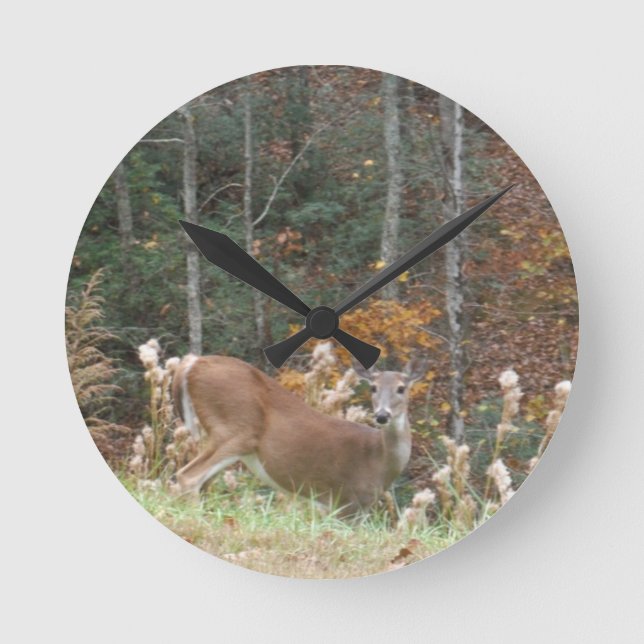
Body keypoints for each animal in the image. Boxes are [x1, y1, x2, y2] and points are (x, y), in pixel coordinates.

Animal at [171, 353, 427, 515]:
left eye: (401, 388)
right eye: (373, 387)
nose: (382, 415)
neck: (377, 458)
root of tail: (192, 363)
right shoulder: (347, 501)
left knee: (203, 482)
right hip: (236, 429)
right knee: (189, 476)